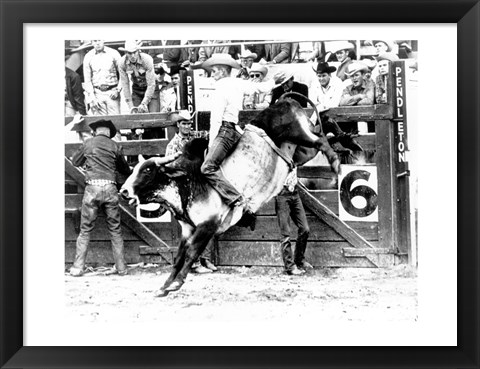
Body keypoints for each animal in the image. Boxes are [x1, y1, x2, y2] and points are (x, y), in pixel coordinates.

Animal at [122, 98, 340, 296]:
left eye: (147, 170)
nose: (123, 191)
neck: (188, 181)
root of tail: (286, 100)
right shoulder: (188, 229)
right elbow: (179, 257)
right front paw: (165, 286)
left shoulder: (208, 225)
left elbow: (192, 253)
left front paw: (176, 283)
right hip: (301, 152)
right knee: (319, 138)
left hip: (299, 134)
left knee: (320, 140)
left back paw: (336, 161)